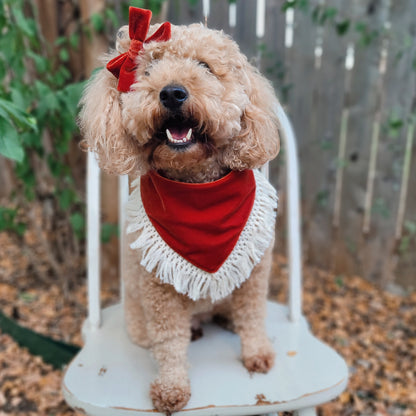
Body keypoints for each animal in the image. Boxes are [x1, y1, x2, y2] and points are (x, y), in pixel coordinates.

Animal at [79, 8, 280, 414]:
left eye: (204, 66)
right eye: (148, 69)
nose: (172, 92)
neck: (197, 187)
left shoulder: (255, 271)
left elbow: (253, 316)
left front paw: (257, 353)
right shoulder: (160, 291)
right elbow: (170, 342)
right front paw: (172, 389)